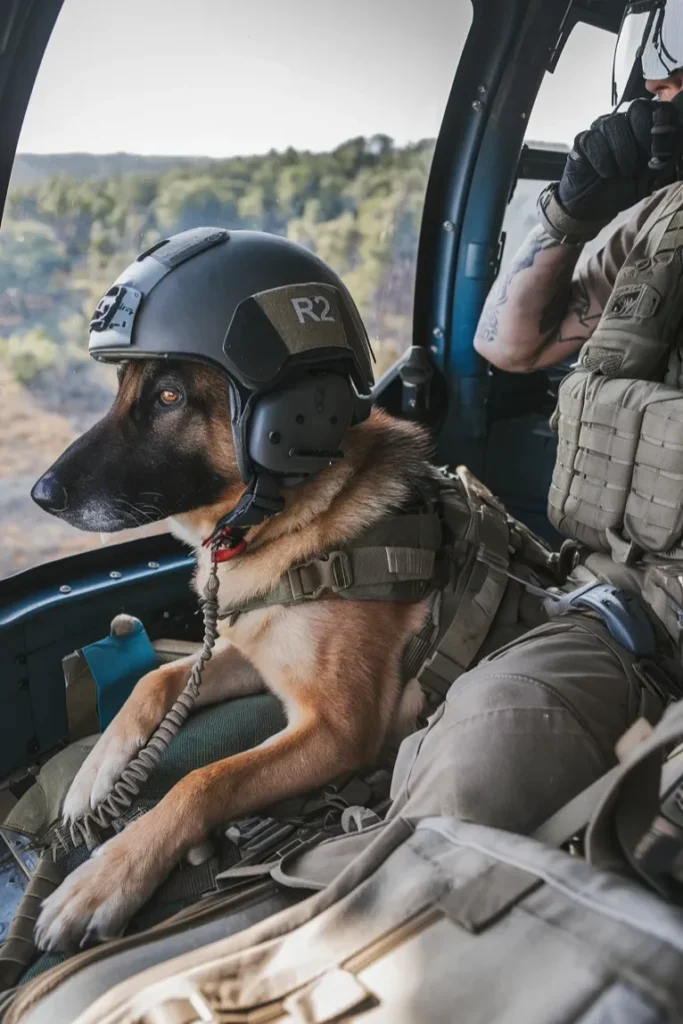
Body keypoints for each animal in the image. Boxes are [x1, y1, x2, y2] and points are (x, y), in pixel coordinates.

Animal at [30, 360, 432, 950]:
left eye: (169, 397)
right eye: (119, 389)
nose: (42, 494)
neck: (294, 521)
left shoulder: (337, 731)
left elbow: (206, 780)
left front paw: (106, 878)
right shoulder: (250, 656)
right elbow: (154, 680)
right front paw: (95, 772)